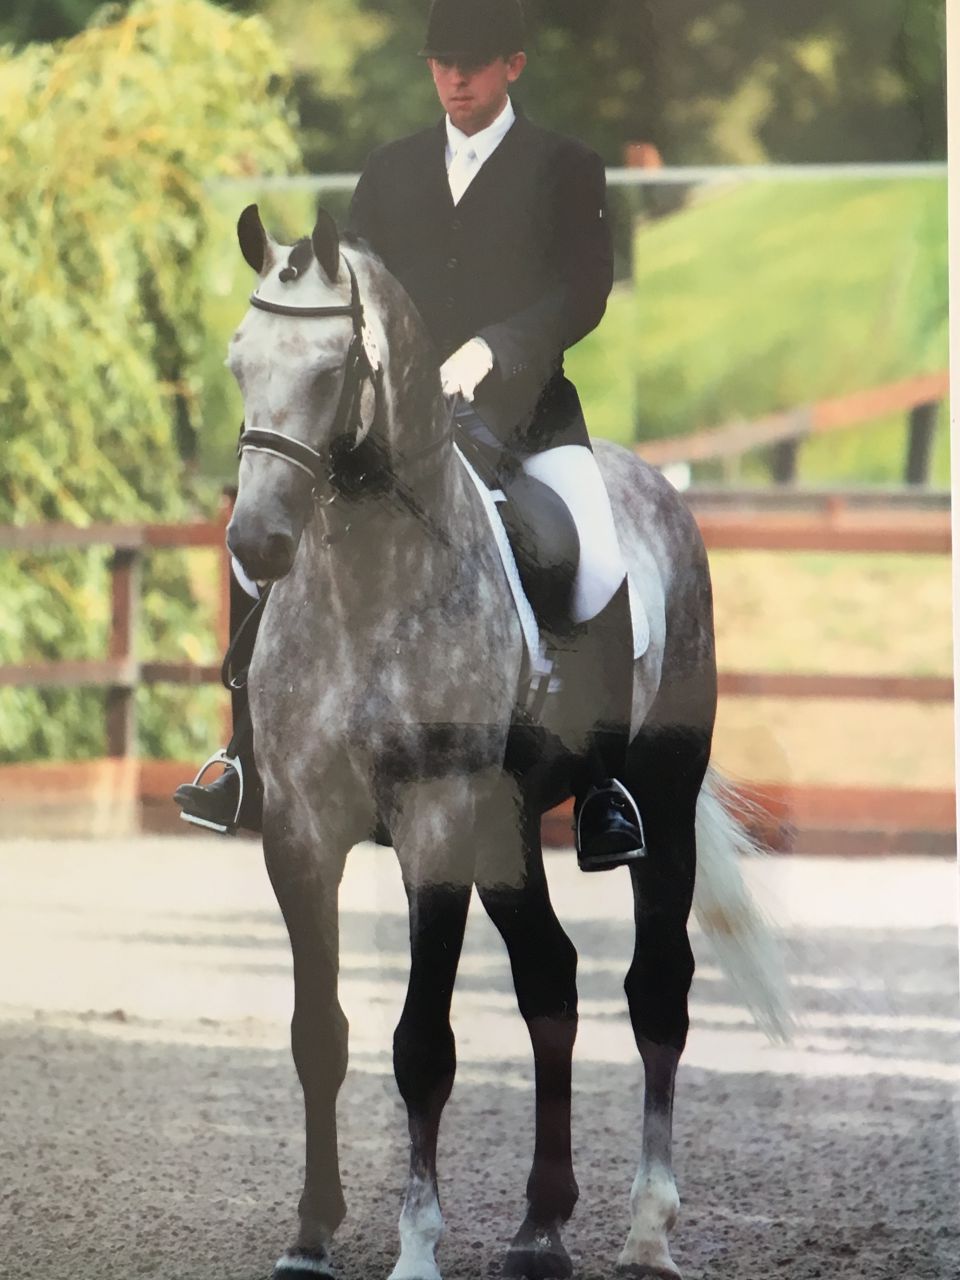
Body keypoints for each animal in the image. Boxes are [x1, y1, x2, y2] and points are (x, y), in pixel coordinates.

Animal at [224, 205, 789, 1280]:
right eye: (239, 361)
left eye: (331, 369)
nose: (257, 543)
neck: (365, 589)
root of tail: (660, 486)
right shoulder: (298, 832)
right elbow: (320, 1032)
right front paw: (311, 1235)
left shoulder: (436, 822)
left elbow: (422, 1045)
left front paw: (416, 1246)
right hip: (509, 826)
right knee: (551, 982)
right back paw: (540, 1226)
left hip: (654, 797)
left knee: (656, 989)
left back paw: (647, 1225)